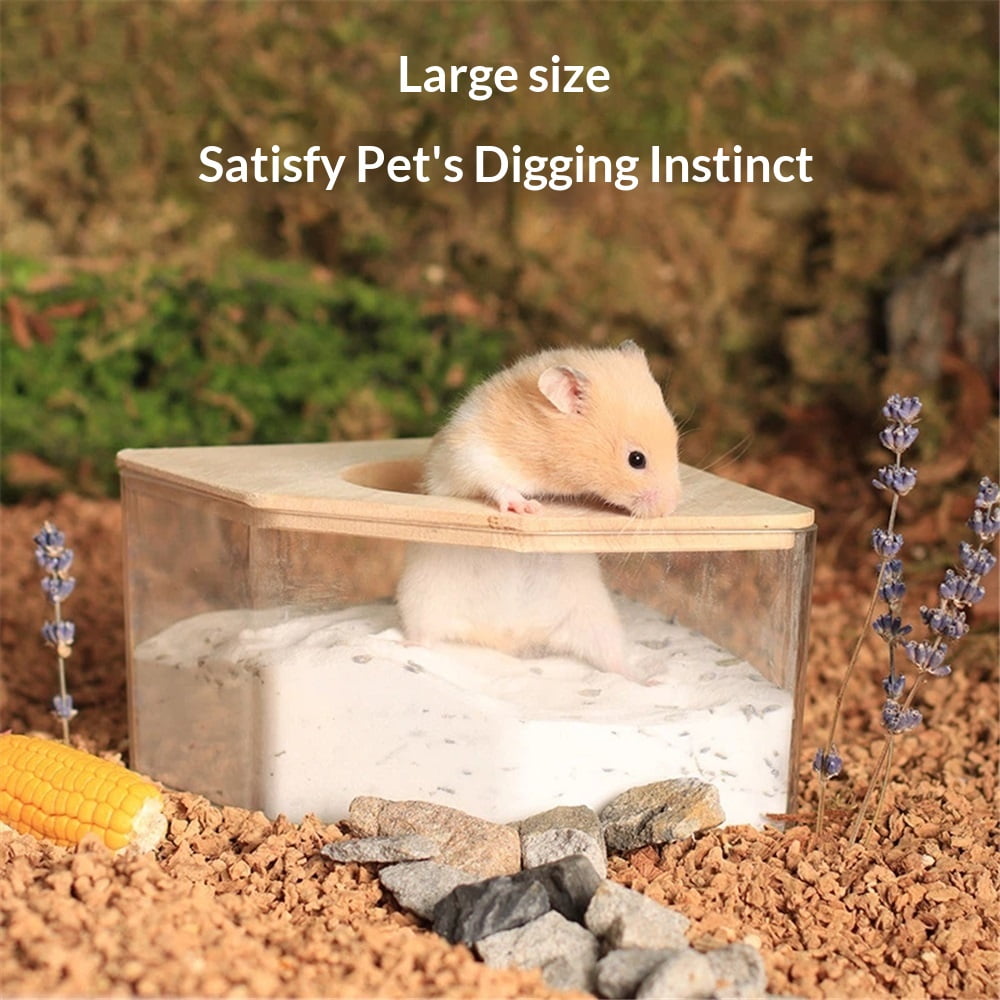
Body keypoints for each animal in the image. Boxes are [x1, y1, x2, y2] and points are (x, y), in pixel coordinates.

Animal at [396, 340, 682, 676]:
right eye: (636, 460)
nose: (670, 508)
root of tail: (508, 639)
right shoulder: (469, 452)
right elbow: (493, 481)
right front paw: (527, 508)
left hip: (594, 617)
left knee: (612, 659)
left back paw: (645, 679)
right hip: (422, 598)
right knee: (423, 635)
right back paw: (402, 648)